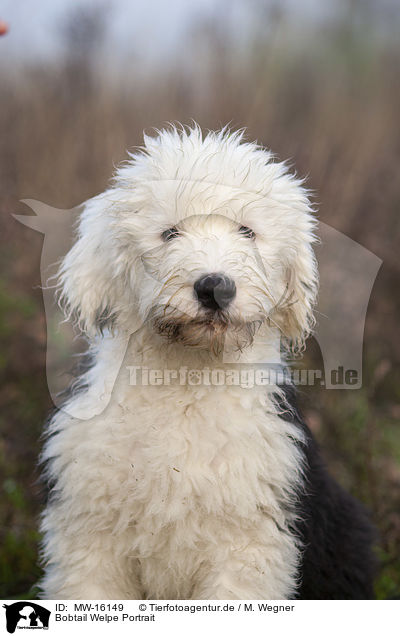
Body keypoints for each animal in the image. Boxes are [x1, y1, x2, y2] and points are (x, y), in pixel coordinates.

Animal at [39, 125, 322, 600]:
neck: (187, 380)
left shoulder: (249, 551)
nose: (215, 287)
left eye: (247, 231)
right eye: (170, 233)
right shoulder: (90, 539)